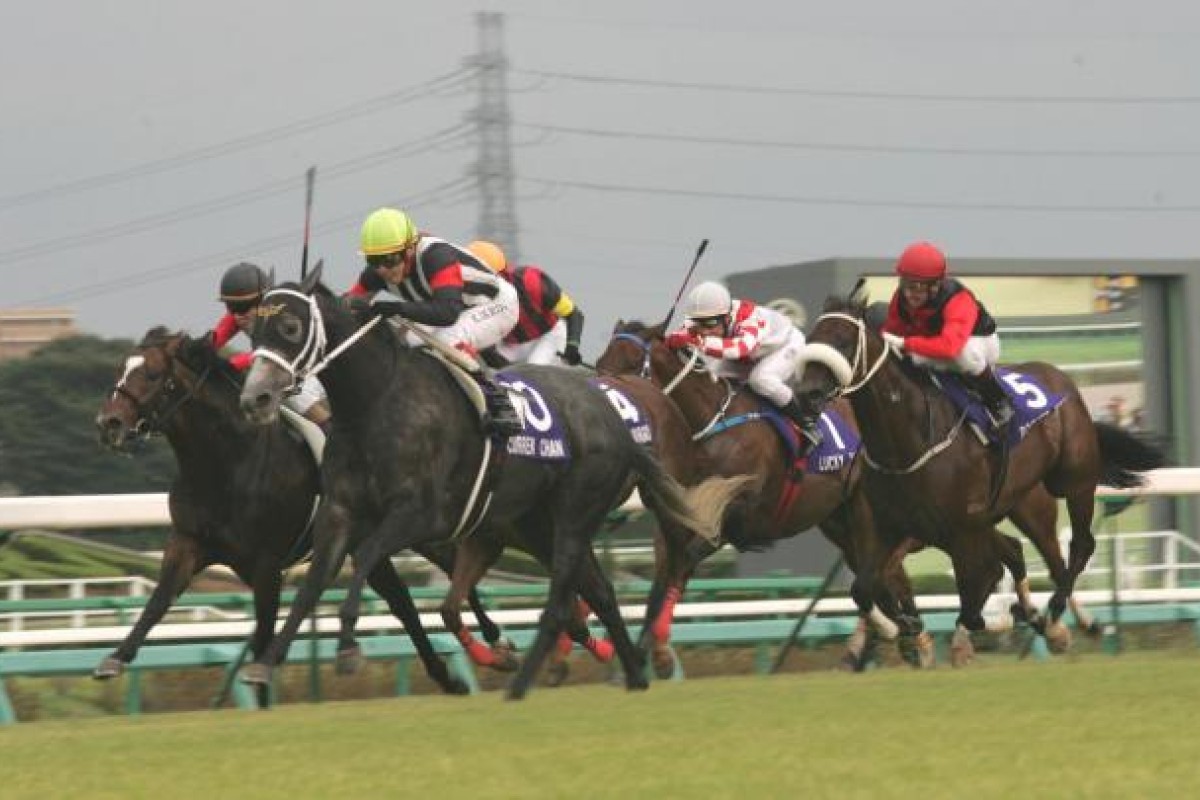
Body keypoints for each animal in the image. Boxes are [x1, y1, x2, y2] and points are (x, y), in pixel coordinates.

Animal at [91, 326, 492, 700]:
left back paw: (489, 638)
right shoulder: (188, 543)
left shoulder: (267, 564)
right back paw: (450, 675)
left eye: (153, 374)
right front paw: (115, 658)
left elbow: (263, 637)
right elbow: (158, 603)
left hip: (426, 530)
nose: (109, 423)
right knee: (403, 601)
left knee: (455, 566)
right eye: (122, 368)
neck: (228, 463)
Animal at [237, 266, 734, 695]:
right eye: (253, 333)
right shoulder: (341, 512)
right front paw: (266, 662)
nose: (255, 398)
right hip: (537, 525)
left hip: (572, 516)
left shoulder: (418, 515)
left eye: (290, 328)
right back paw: (629, 669)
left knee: (609, 580)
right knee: (600, 591)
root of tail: (613, 417)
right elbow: (313, 586)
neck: (376, 402)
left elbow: (363, 562)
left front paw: (346, 647)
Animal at [792, 281, 1166, 662]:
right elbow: (864, 588)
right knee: (1031, 555)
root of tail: (1063, 380)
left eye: (842, 342)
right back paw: (1055, 621)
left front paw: (987, 627)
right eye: (811, 339)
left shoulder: (959, 528)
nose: (806, 395)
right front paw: (900, 631)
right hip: (1005, 508)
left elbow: (975, 595)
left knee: (1077, 547)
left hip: (1070, 483)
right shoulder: (890, 526)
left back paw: (1057, 618)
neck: (907, 440)